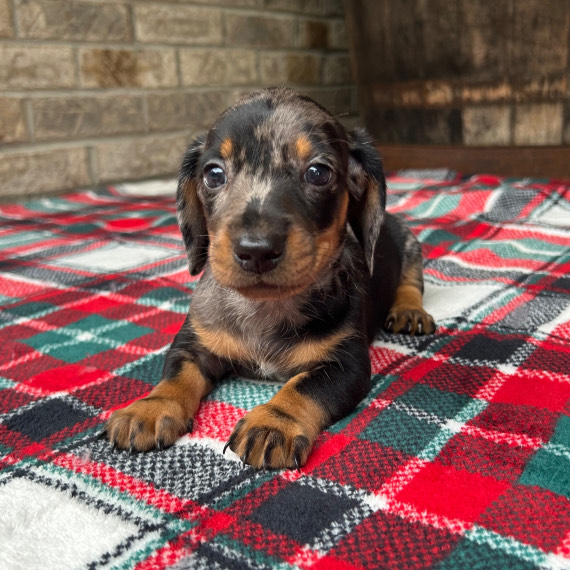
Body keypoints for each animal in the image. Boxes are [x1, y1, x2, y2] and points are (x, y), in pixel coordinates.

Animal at [104, 86, 432, 468]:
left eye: (318, 172)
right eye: (213, 174)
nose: (256, 250)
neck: (264, 306)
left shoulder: (347, 365)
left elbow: (304, 386)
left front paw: (275, 422)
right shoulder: (192, 343)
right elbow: (177, 374)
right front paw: (150, 407)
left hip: (410, 246)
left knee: (411, 285)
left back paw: (409, 311)